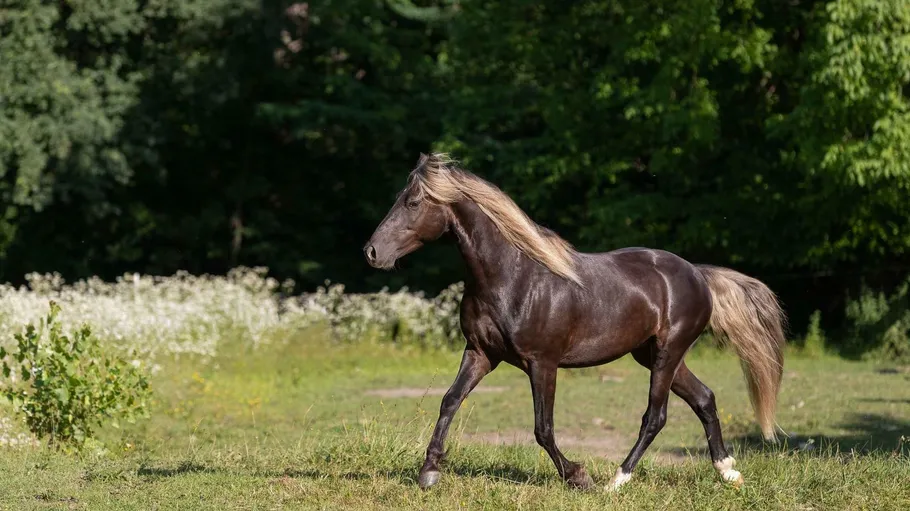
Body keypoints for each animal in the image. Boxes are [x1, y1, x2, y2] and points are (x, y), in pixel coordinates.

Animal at [363, 153, 786, 491]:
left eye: (413, 202)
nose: (371, 252)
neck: (511, 277)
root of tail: (698, 274)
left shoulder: (542, 363)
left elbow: (543, 428)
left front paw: (578, 476)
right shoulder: (480, 353)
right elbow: (449, 401)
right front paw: (429, 472)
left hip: (668, 353)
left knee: (655, 416)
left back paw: (616, 481)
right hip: (653, 355)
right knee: (704, 398)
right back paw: (728, 472)